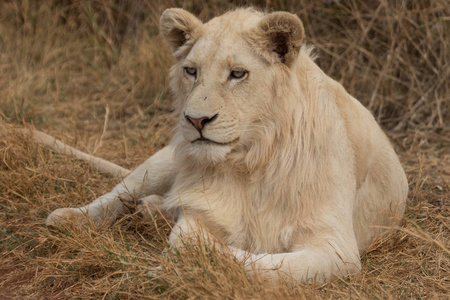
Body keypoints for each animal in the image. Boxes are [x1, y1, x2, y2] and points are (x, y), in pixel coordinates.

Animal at [45, 8, 408, 282]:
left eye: (237, 73)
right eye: (191, 71)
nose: (195, 121)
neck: (251, 161)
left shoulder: (337, 247)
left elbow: (270, 265)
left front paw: (192, 262)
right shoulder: (201, 207)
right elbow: (188, 233)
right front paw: (184, 252)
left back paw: (151, 211)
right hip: (165, 160)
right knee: (119, 193)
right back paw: (69, 218)